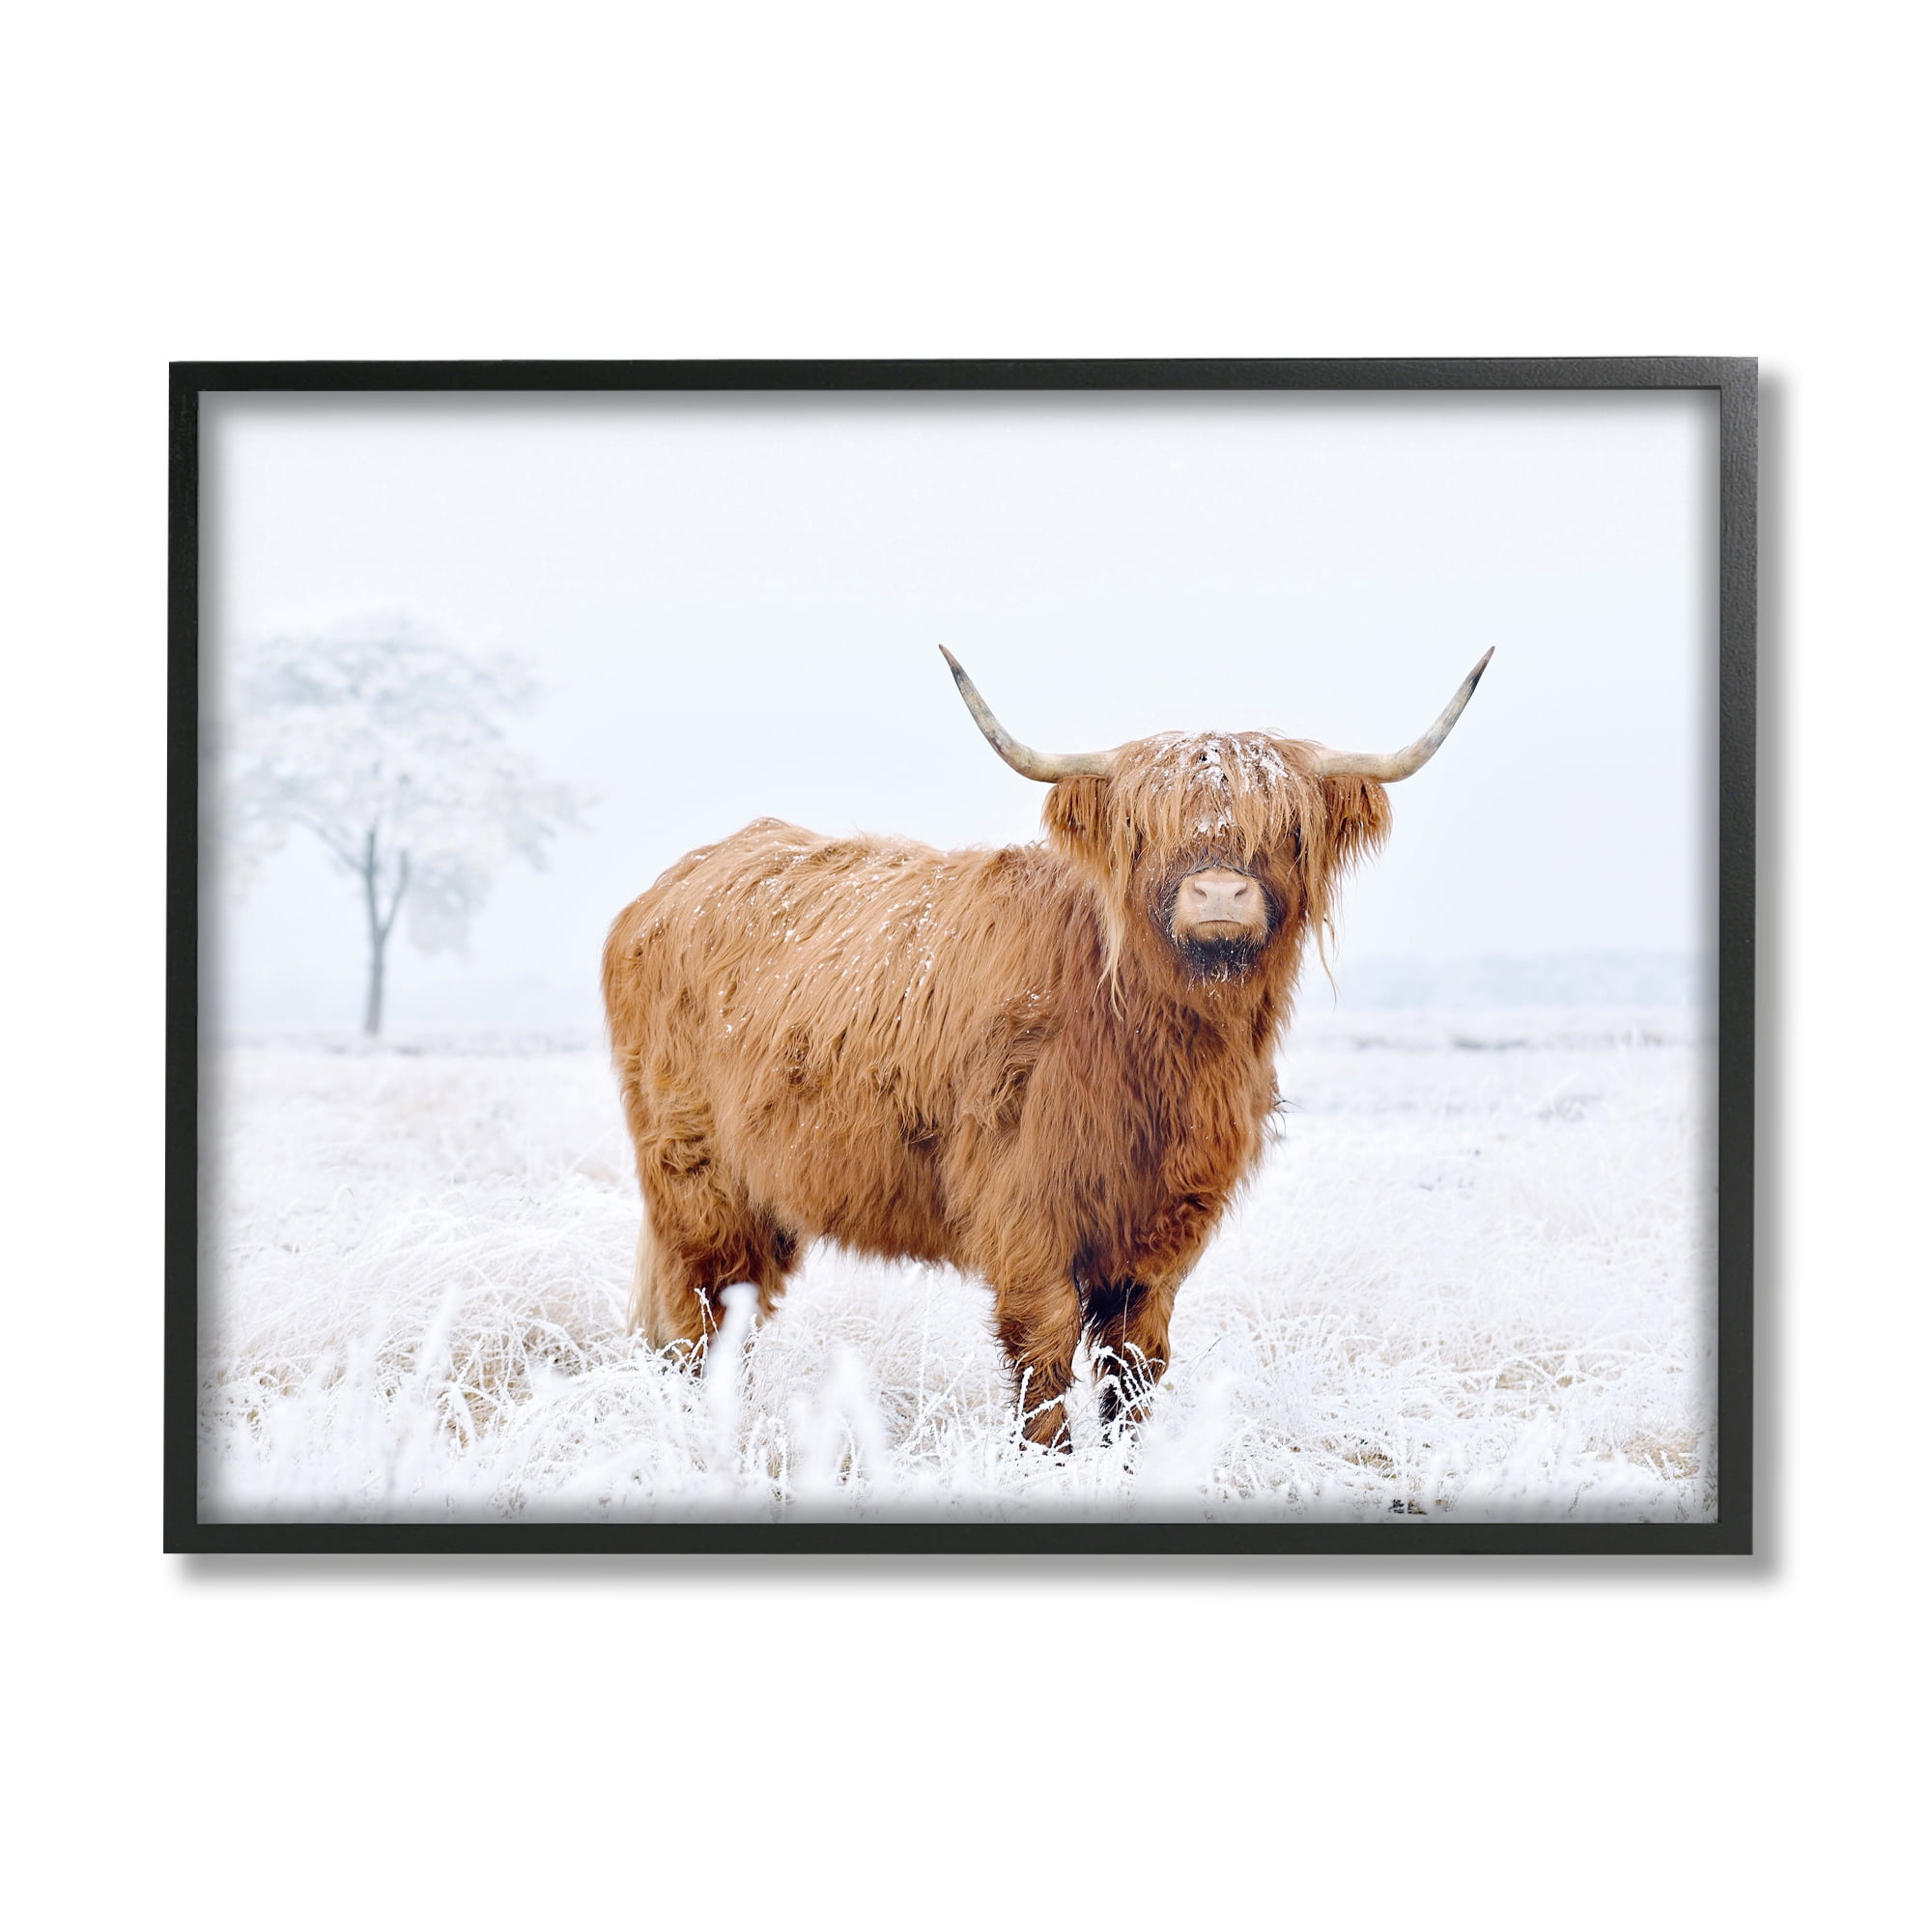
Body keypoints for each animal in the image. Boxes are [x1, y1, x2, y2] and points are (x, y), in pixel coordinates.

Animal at [602, 648, 1491, 1447]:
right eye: (1144, 828)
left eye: (1285, 827)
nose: (1217, 892)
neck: (1158, 1051)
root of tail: (671, 886)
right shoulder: (1026, 1208)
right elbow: (1045, 1356)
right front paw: (1048, 1462)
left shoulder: (1164, 1229)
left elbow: (1136, 1364)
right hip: (696, 1179)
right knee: (699, 1313)